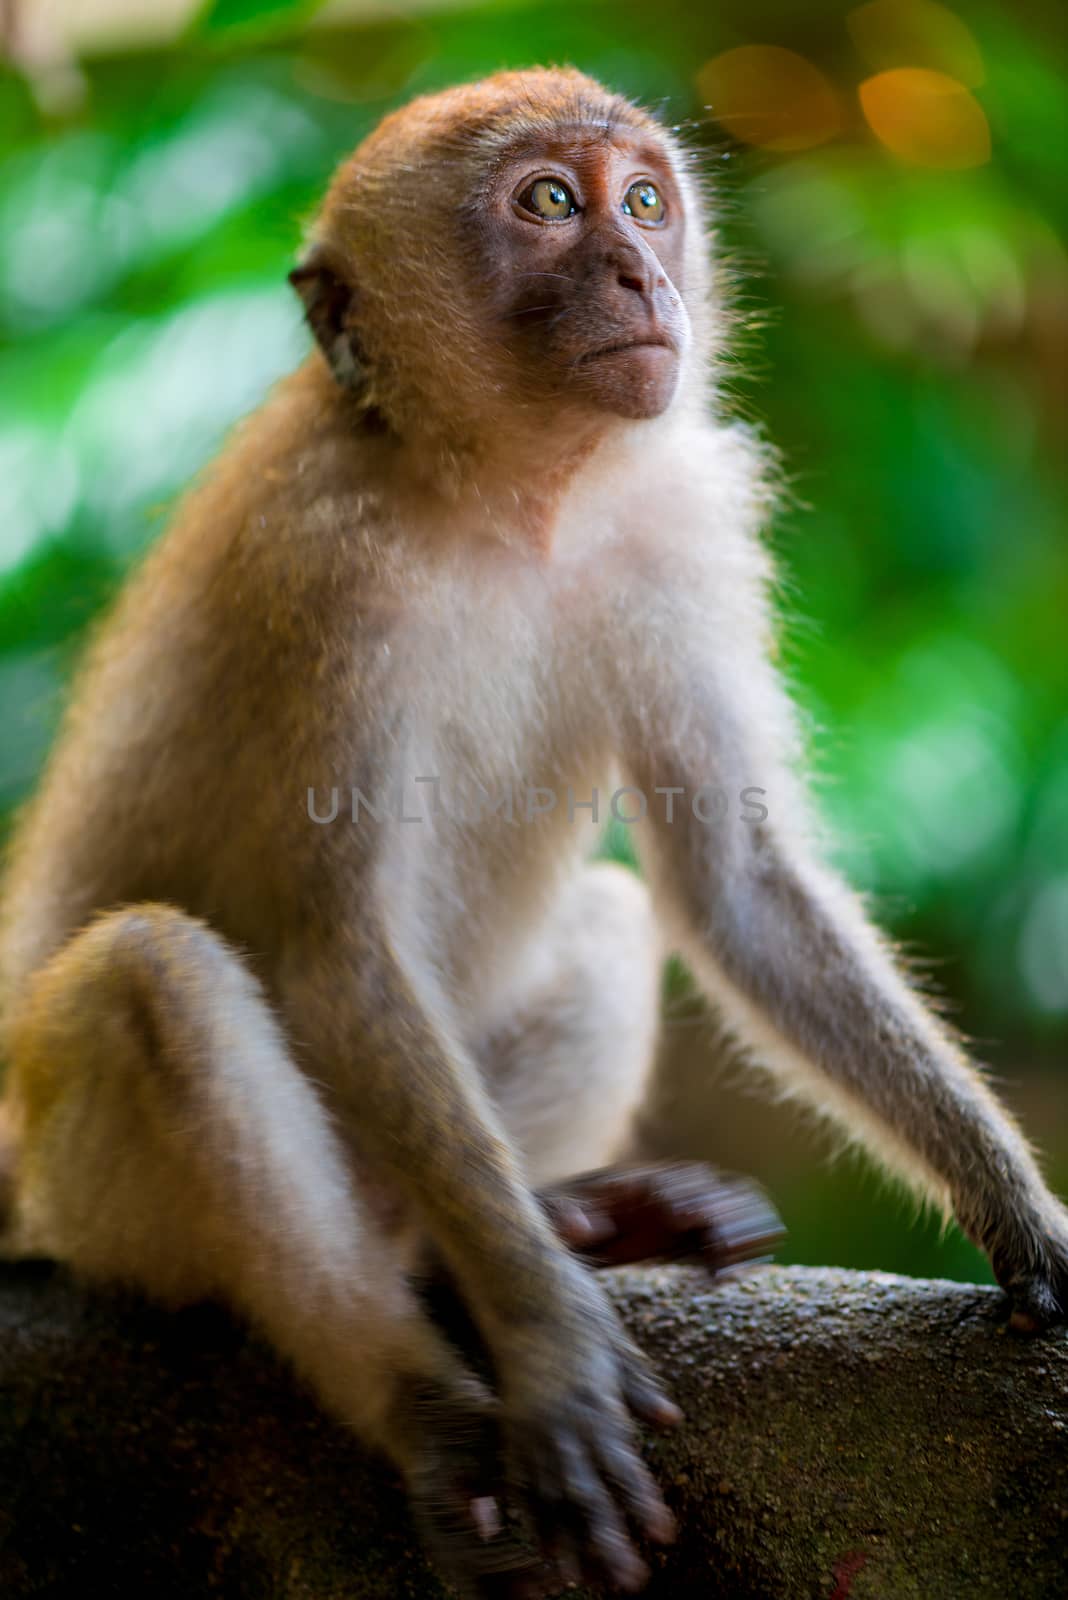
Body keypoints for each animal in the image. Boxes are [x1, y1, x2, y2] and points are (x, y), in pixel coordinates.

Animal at [0, 59, 1061, 1587]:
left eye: (645, 202)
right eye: (550, 204)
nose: (640, 272)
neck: (510, 495)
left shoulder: (679, 523)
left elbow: (733, 882)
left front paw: (1018, 1210)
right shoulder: (324, 571)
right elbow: (340, 951)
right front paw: (551, 1347)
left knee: (612, 917)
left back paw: (543, 1229)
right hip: (89, 1210)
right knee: (160, 979)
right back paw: (429, 1391)